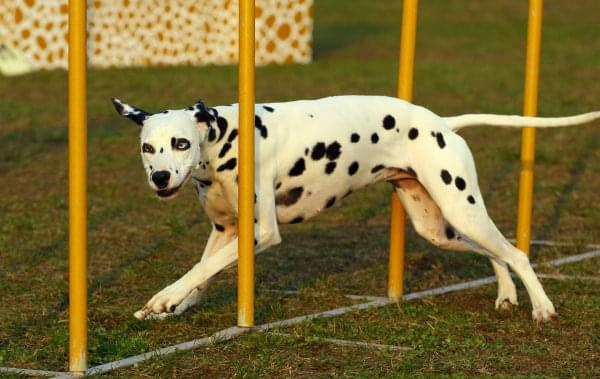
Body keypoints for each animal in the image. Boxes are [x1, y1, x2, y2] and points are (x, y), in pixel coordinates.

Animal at [112, 95, 600, 324]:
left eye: (181, 143)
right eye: (148, 147)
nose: (160, 176)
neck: (222, 142)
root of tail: (442, 123)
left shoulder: (260, 234)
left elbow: (200, 269)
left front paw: (165, 298)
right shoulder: (225, 231)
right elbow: (203, 268)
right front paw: (176, 304)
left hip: (463, 211)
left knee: (516, 252)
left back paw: (542, 308)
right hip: (438, 229)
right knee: (496, 253)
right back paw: (505, 293)